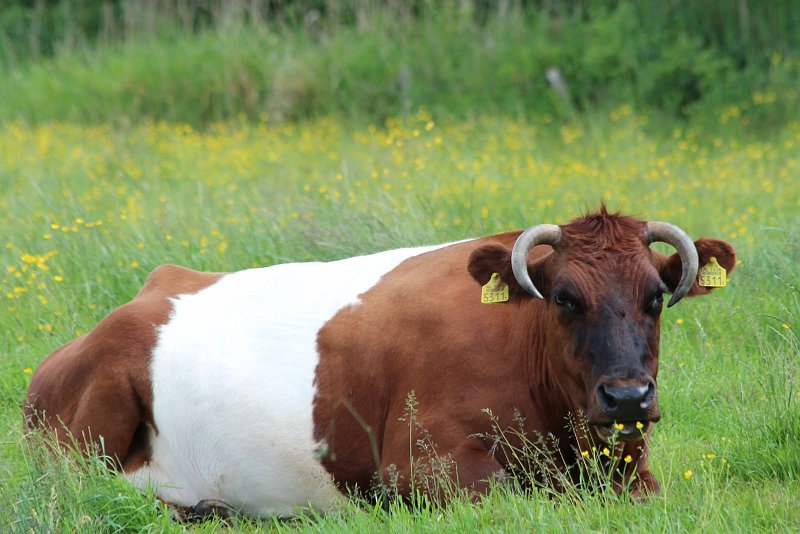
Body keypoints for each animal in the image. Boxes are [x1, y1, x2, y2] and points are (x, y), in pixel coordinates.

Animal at [25, 209, 736, 520]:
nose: (627, 397)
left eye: (656, 296)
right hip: (89, 425)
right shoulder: (422, 465)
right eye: (564, 297)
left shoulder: (631, 465)